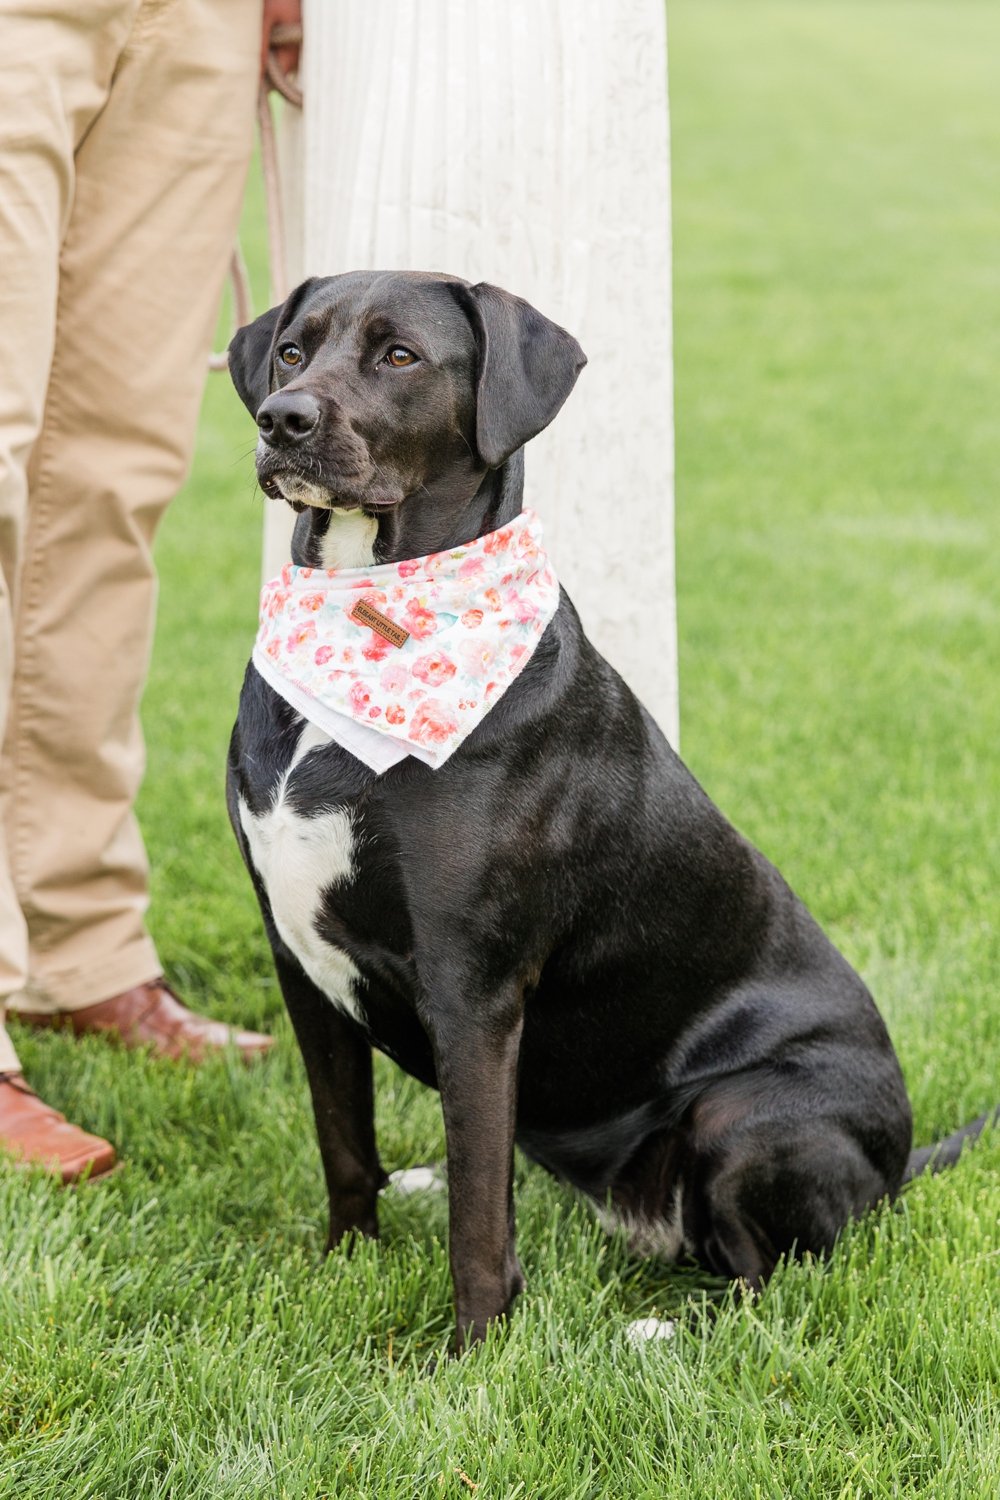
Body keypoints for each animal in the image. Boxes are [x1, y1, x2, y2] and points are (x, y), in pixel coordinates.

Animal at [224, 270, 995, 1350]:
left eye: (401, 356)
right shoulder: (299, 959)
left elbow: (479, 1220)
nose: (281, 418)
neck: (371, 621)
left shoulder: (473, 988)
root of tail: (899, 1165)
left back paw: (657, 1334)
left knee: (773, 1284)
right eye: (293, 350)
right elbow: (345, 1145)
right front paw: (347, 1264)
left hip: (740, 1115)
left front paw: (469, 1358)